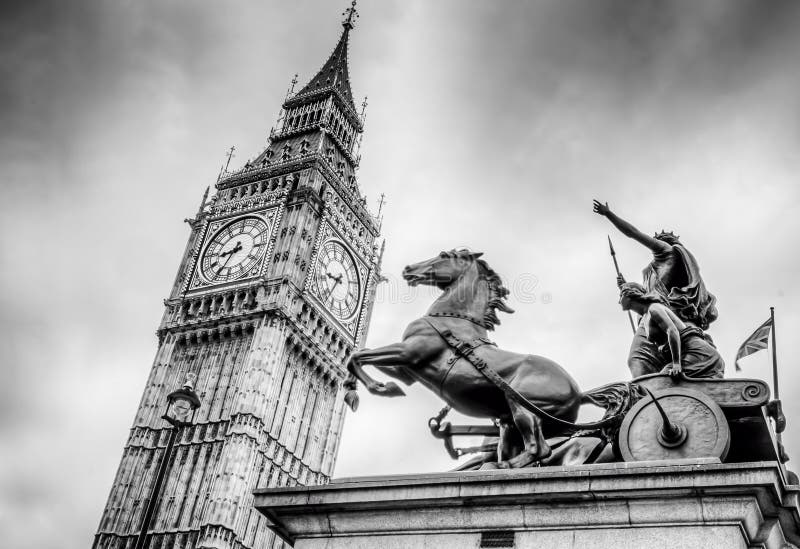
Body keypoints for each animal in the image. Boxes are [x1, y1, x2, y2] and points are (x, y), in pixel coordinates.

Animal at [342, 248, 580, 466]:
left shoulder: (409, 351)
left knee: (539, 448)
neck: (452, 319)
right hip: (511, 419)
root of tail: (577, 392)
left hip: (520, 404)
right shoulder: (407, 370)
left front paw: (371, 390)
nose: (408, 268)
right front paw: (380, 387)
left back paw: (501, 465)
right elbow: (360, 355)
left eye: (444, 255)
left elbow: (357, 356)